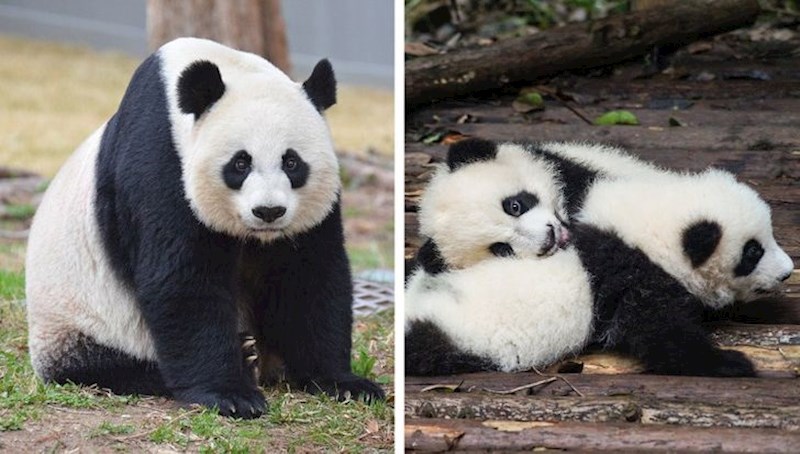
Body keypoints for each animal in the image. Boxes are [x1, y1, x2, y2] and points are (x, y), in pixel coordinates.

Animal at [25, 38, 383, 419]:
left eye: (291, 162)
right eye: (240, 163)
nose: (268, 211)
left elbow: (307, 277)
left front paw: (344, 382)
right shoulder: (159, 161)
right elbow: (184, 278)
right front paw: (231, 395)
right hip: (79, 319)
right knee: (105, 364)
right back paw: (243, 359)